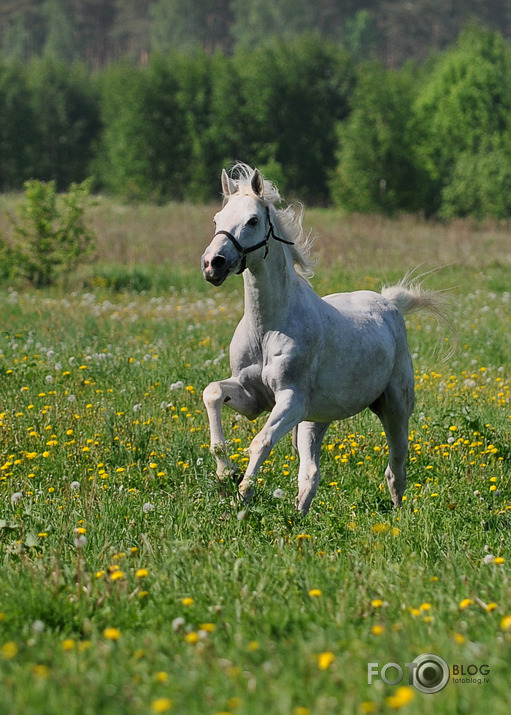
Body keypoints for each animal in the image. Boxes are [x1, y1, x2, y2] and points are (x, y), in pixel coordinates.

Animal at [202, 164, 446, 516]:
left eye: (253, 220)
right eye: (217, 219)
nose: (213, 264)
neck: (268, 329)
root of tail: (390, 302)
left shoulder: (291, 399)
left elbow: (261, 441)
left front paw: (243, 493)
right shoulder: (252, 397)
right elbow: (212, 392)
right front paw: (225, 473)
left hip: (395, 407)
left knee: (396, 466)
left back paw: (398, 513)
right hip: (315, 421)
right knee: (311, 474)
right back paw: (298, 517)